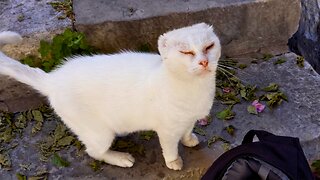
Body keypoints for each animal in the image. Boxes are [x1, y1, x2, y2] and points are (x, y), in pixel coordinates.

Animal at [0, 22, 220, 170]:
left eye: (209, 47)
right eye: (187, 52)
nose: (204, 62)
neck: (195, 90)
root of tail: (53, 79)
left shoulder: (190, 119)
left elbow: (187, 131)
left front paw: (189, 139)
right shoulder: (167, 130)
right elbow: (170, 148)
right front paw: (174, 161)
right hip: (100, 134)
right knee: (94, 152)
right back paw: (121, 158)